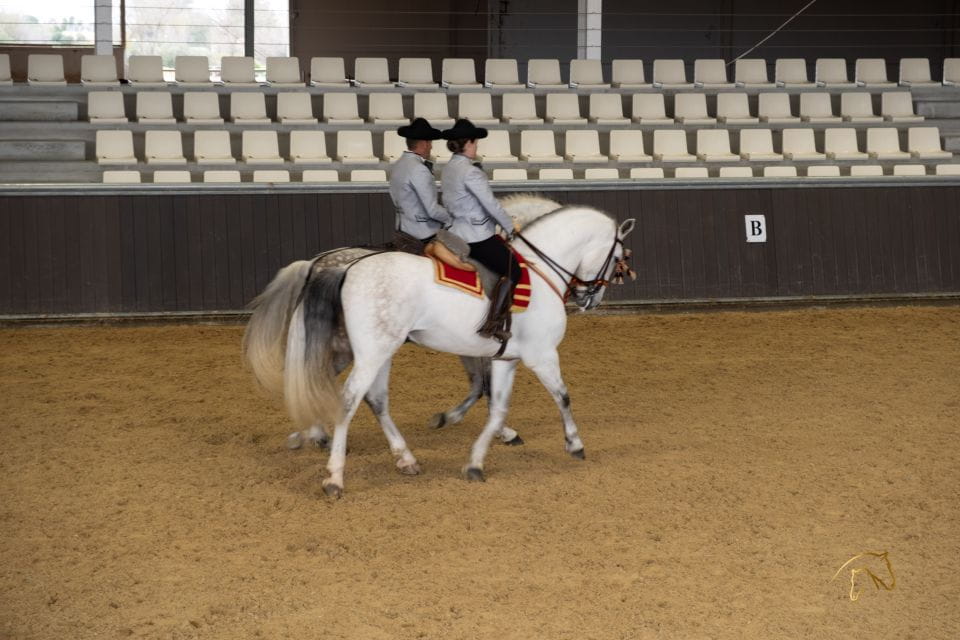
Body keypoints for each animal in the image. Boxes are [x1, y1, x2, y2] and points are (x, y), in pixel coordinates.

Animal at [274, 199, 636, 497]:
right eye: (617, 257)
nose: (589, 298)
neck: (539, 270)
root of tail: (344, 268)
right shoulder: (542, 355)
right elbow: (561, 396)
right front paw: (574, 444)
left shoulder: (505, 358)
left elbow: (495, 406)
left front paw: (475, 460)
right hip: (369, 353)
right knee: (347, 399)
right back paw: (334, 475)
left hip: (373, 351)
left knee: (367, 396)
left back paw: (399, 457)